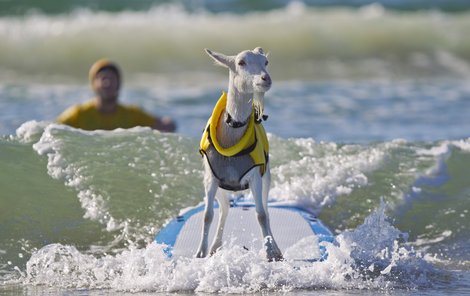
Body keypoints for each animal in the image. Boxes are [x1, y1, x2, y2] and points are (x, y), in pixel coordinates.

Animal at [196, 46, 282, 262]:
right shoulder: (211, 178)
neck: (231, 134)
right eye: (241, 62)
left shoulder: (255, 176)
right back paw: (215, 246)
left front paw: (270, 253)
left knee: (266, 210)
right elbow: (207, 215)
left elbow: (261, 215)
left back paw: (276, 249)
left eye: (265, 62)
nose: (265, 79)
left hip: (267, 177)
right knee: (225, 209)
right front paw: (200, 252)